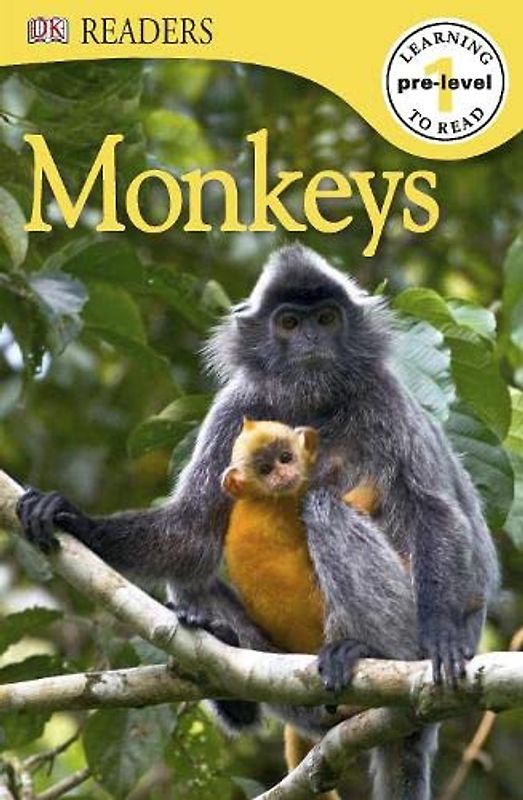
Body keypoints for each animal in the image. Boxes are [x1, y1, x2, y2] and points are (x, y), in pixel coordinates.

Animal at [16, 244, 499, 799]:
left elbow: (432, 510)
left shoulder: (385, 397)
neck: (314, 402)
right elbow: (192, 532)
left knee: (325, 507)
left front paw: (443, 635)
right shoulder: (236, 405)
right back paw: (225, 662)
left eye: (326, 319)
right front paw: (72, 518)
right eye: (289, 323)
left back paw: (365, 648)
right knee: (191, 578)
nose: (311, 340)